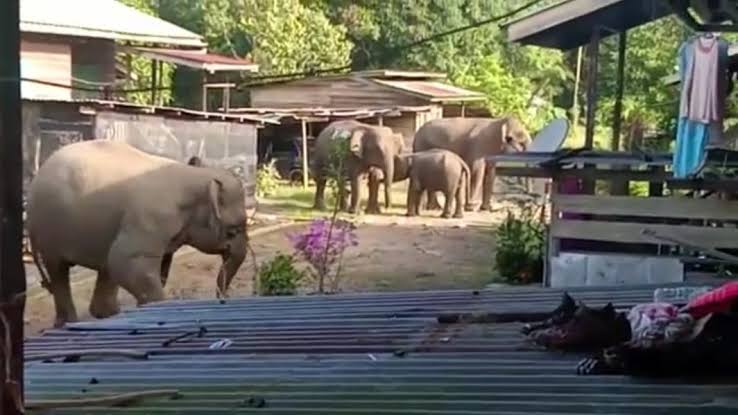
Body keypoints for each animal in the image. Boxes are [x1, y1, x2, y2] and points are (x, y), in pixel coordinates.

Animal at [28, 140, 247, 328]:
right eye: (233, 230)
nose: (223, 299)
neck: (193, 176)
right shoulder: (152, 218)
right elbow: (128, 262)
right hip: (48, 228)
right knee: (60, 270)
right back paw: (70, 322)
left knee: (104, 267)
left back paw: (107, 314)